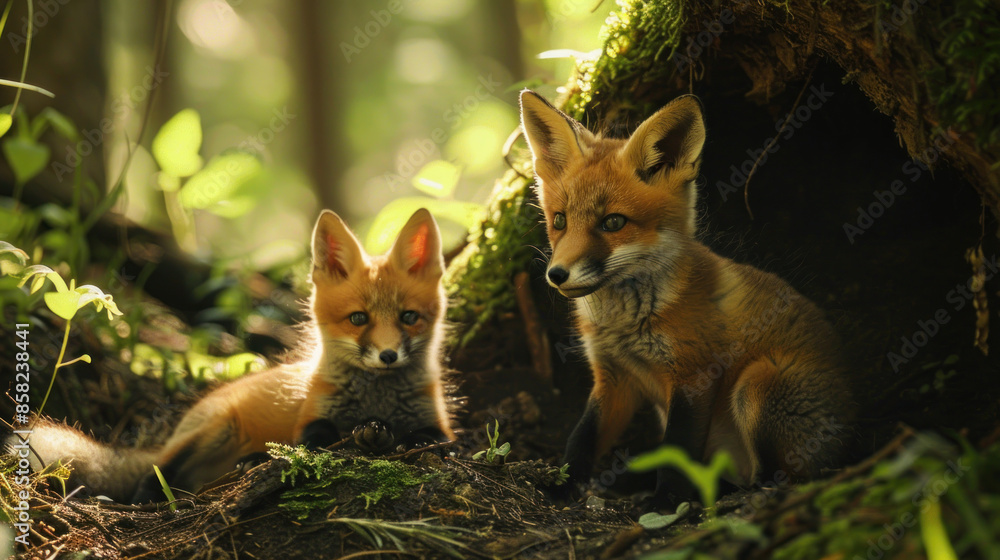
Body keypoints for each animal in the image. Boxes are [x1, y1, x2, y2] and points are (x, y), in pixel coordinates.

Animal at [8, 208, 453, 504]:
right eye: (358, 318)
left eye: (408, 317)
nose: (388, 356)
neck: (376, 399)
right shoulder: (310, 421)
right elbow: (318, 441)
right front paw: (368, 435)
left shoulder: (440, 428)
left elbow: (432, 442)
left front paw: (389, 437)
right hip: (213, 429)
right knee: (153, 476)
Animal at [519, 90, 855, 504]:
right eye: (560, 220)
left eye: (613, 222)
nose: (557, 275)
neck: (627, 324)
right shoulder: (614, 377)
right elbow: (583, 436)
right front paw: (563, 483)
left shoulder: (695, 374)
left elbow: (676, 449)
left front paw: (665, 502)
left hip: (756, 383)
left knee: (776, 477)